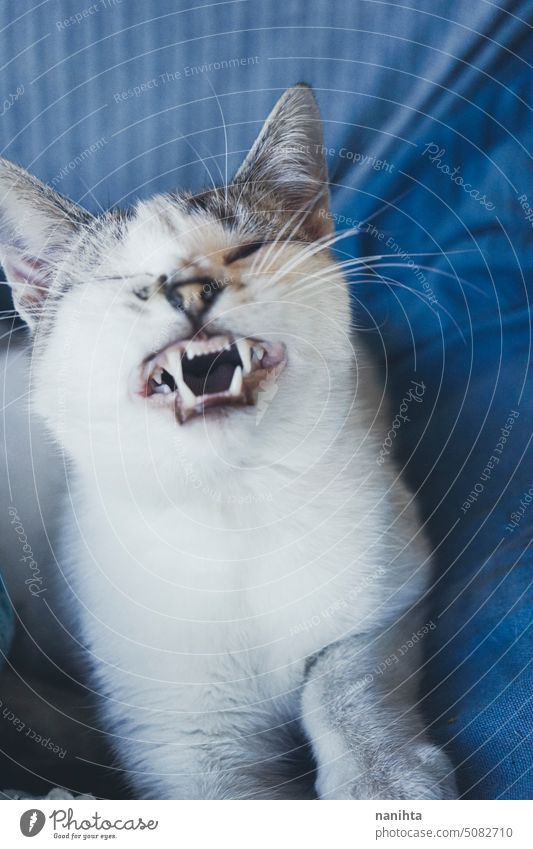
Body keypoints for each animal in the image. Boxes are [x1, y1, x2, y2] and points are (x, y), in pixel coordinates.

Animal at [0, 83, 458, 800]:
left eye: (246, 251)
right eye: (124, 284)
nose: (190, 287)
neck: (234, 500)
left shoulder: (387, 597)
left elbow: (341, 679)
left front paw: (385, 779)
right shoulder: (186, 744)